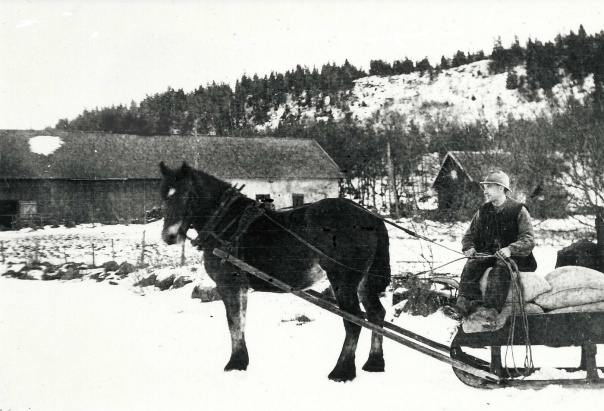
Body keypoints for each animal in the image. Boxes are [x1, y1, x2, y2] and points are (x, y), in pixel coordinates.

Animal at [159, 162, 392, 384]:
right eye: (164, 196)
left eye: (186, 195)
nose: (169, 236)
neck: (227, 222)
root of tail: (370, 216)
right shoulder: (241, 286)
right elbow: (240, 320)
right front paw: (241, 361)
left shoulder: (228, 284)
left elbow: (233, 322)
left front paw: (234, 363)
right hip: (362, 283)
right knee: (375, 314)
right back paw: (374, 363)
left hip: (342, 280)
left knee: (354, 320)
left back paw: (342, 371)